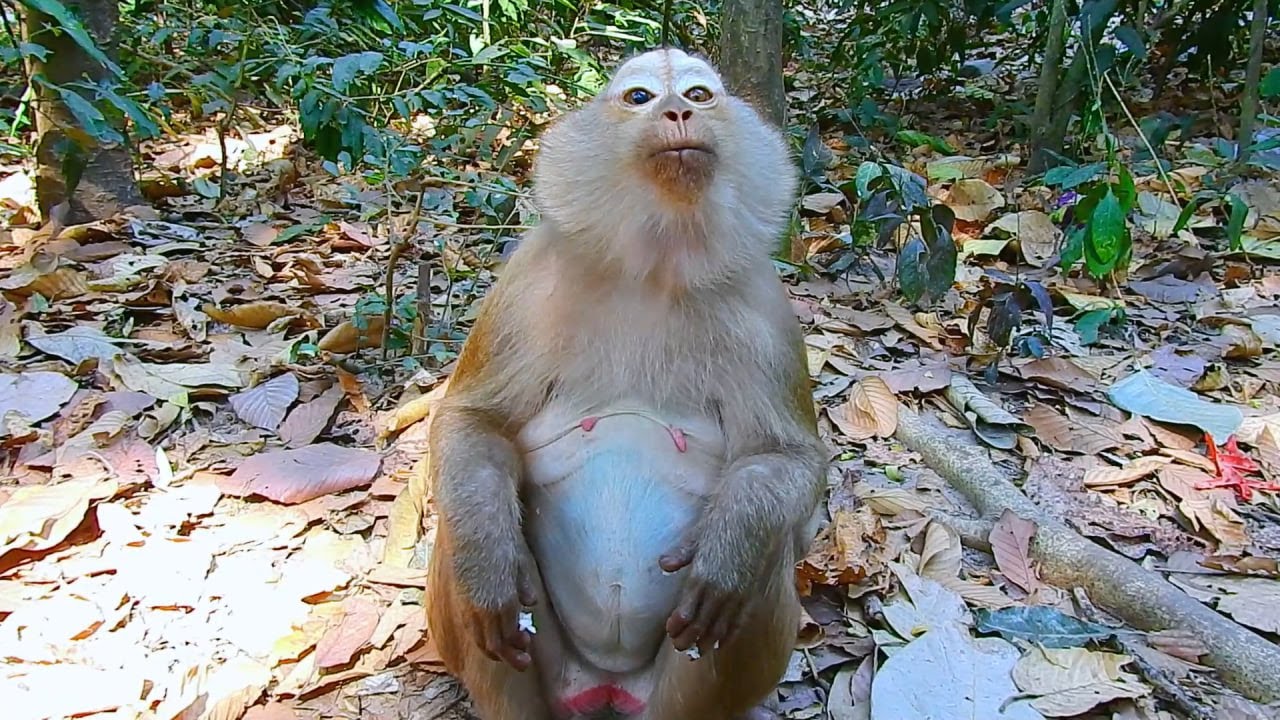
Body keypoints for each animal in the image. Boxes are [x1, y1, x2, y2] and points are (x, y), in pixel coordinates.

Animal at [424, 47, 828, 720]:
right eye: (640, 98)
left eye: (698, 94)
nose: (678, 112)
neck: (656, 266)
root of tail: (606, 682)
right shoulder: (529, 279)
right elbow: (475, 423)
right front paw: (488, 565)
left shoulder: (765, 307)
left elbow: (787, 460)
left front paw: (728, 557)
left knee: (753, 580)